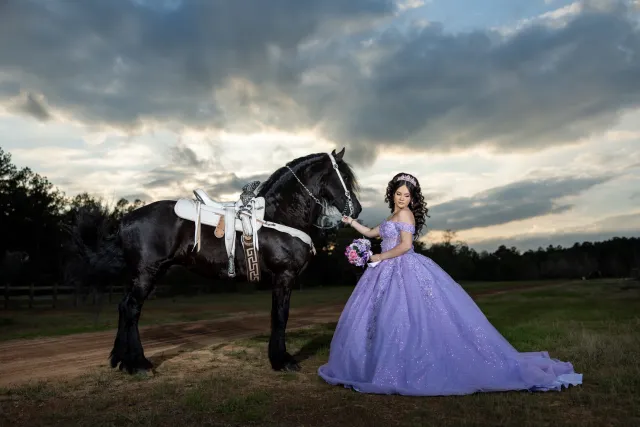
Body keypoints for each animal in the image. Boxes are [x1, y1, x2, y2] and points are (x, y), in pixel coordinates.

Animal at [69, 150, 360, 374]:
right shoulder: (283, 276)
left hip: (143, 274)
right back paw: (139, 364)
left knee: (123, 307)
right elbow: (280, 316)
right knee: (131, 309)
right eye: (344, 177)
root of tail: (126, 220)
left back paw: (120, 359)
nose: (355, 209)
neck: (278, 216)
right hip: (146, 274)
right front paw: (282, 361)